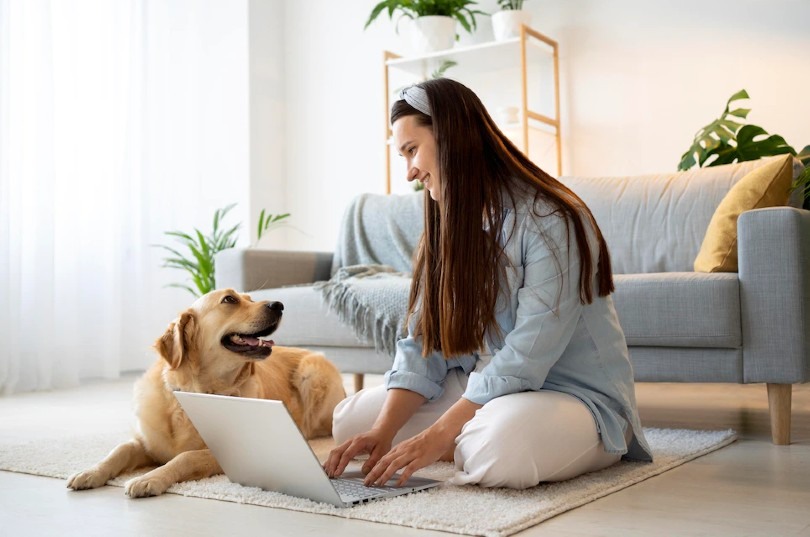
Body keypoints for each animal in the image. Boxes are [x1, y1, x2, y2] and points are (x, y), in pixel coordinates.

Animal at [63, 286, 340, 496]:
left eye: (250, 299)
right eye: (230, 299)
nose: (279, 305)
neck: (195, 392)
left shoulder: (227, 451)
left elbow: (186, 457)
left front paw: (149, 478)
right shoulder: (146, 442)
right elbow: (119, 450)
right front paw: (90, 472)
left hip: (311, 373)